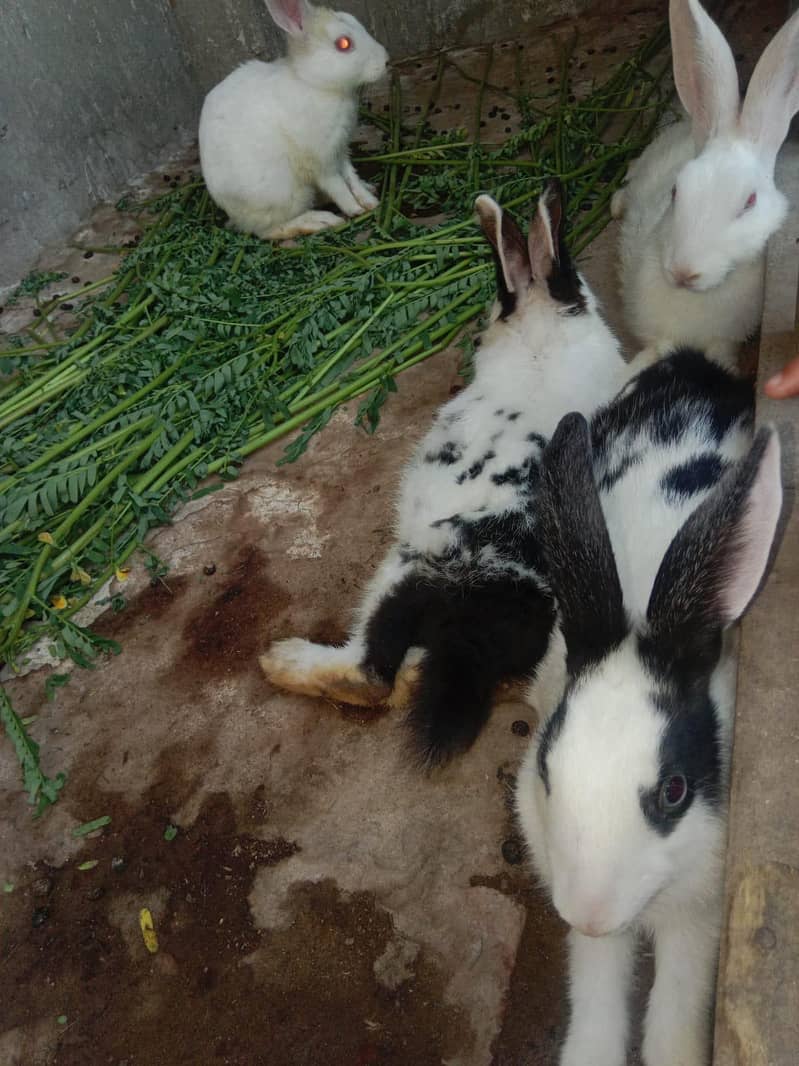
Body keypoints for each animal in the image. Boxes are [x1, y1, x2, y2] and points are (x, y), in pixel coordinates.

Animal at [198, 0, 387, 240]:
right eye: (344, 44)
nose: (386, 60)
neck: (315, 84)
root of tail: (231, 213)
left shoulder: (340, 149)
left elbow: (350, 175)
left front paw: (369, 201)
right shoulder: (319, 161)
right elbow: (337, 185)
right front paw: (354, 209)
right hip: (283, 196)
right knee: (269, 230)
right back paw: (321, 221)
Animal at [260, 180, 627, 764]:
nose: (478, 330)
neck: (546, 334)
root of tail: (482, 633)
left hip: (407, 570)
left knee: (370, 676)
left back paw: (282, 659)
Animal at [515, 347, 783, 1066]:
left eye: (673, 792)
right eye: (546, 772)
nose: (589, 912)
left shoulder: (698, 913)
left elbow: (672, 1017)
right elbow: (597, 1003)